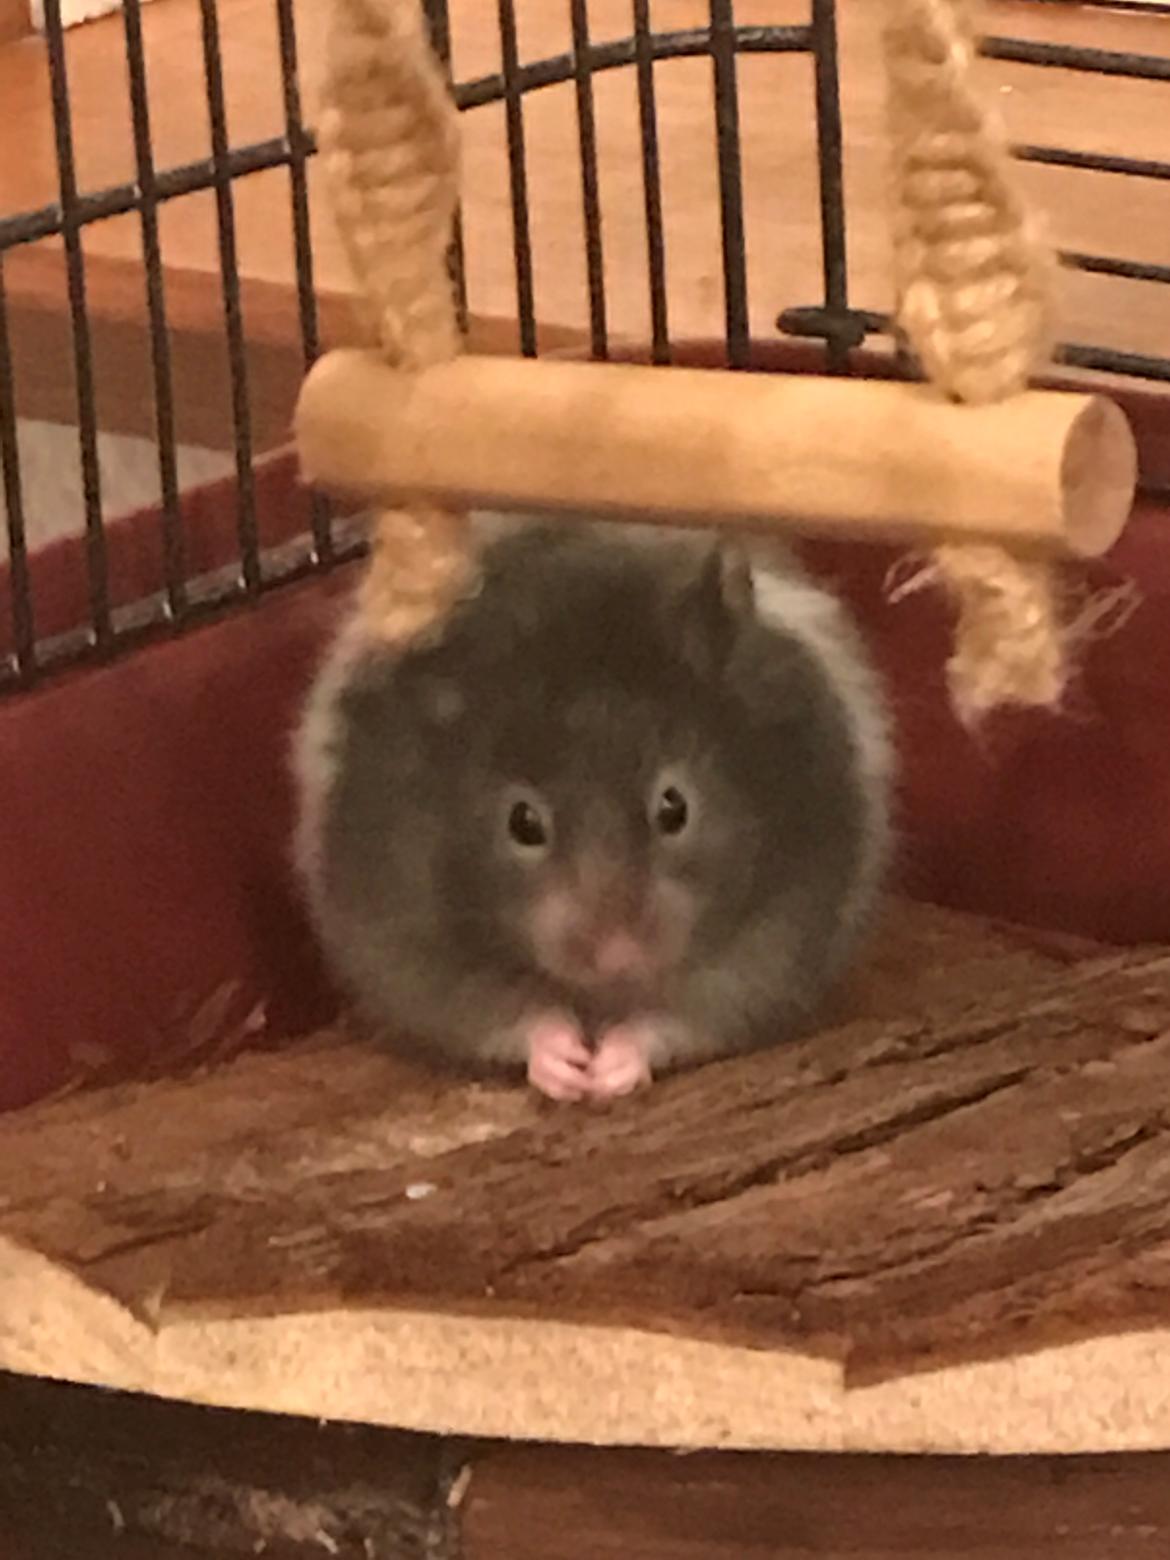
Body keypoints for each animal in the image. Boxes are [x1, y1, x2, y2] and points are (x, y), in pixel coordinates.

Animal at [293, 515, 893, 1102]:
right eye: (522, 822)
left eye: (674, 807)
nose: (618, 956)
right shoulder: (408, 943)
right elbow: (507, 1015)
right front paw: (568, 1067)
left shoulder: (772, 944)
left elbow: (680, 1018)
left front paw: (608, 1070)